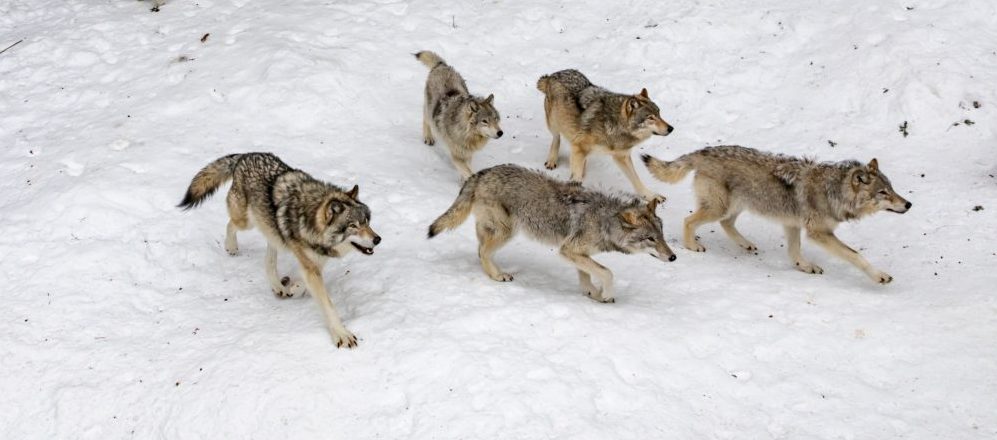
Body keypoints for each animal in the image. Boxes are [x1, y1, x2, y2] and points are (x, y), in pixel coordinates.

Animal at [178, 153, 381, 348]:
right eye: (353, 226)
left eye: (367, 222)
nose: (377, 239)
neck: (310, 221)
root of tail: (245, 156)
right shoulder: (310, 266)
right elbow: (328, 304)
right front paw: (342, 335)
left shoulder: (314, 262)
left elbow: (303, 283)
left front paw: (294, 288)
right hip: (246, 222)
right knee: (231, 225)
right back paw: (232, 247)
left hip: (271, 231)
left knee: (269, 258)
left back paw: (278, 286)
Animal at [415, 50, 503, 180]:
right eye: (485, 121)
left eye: (495, 119)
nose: (500, 133)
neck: (467, 134)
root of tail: (442, 66)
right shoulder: (456, 156)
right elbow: (469, 172)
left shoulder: (468, 154)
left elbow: (467, 170)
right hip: (429, 109)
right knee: (426, 120)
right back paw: (428, 138)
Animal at [427, 164, 676, 303]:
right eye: (650, 239)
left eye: (662, 236)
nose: (673, 257)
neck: (604, 221)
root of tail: (481, 173)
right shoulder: (569, 250)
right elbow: (607, 272)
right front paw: (605, 294)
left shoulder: (577, 253)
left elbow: (587, 275)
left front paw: (593, 294)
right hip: (507, 231)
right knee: (483, 252)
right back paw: (498, 276)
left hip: (499, 231)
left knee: (480, 249)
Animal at [537, 69, 673, 202]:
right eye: (651, 118)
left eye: (659, 114)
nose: (671, 128)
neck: (615, 125)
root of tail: (553, 75)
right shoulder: (579, 146)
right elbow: (576, 176)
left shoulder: (622, 156)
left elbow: (636, 180)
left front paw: (651, 196)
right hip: (554, 124)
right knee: (556, 138)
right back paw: (552, 161)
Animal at [641, 146, 912, 284]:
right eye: (883, 192)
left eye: (892, 189)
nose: (908, 204)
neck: (833, 191)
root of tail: (703, 151)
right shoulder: (819, 233)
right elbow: (856, 256)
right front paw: (880, 276)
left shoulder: (792, 224)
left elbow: (794, 252)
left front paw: (804, 266)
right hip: (719, 207)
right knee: (689, 221)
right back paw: (692, 246)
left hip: (737, 206)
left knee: (726, 224)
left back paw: (746, 244)